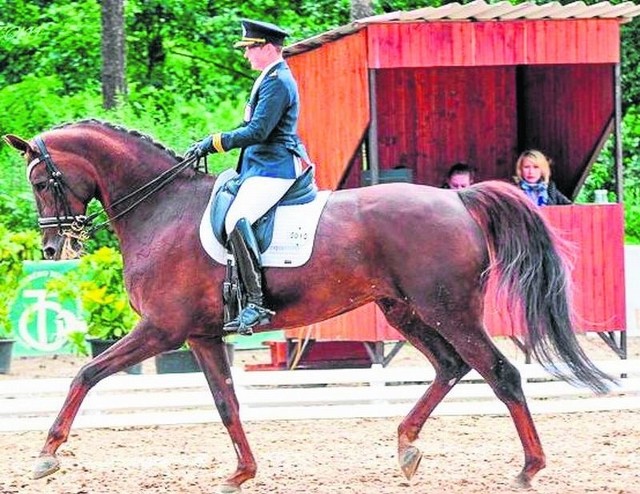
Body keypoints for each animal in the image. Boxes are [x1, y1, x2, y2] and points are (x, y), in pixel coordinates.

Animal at [3, 120, 616, 494]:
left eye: (41, 181)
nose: (53, 250)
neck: (161, 209)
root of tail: (458, 199)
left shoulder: (162, 330)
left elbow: (86, 373)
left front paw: (47, 454)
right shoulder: (201, 336)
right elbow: (226, 404)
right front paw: (241, 473)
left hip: (450, 310)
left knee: (501, 373)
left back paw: (529, 468)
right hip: (405, 311)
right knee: (451, 366)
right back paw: (407, 447)